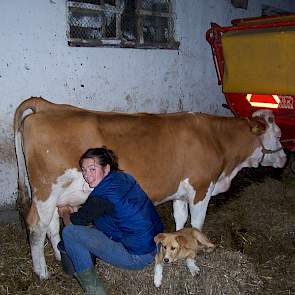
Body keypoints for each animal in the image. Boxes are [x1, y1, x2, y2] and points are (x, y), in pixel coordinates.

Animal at [13, 97, 286, 280]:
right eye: (279, 135)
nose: (285, 159)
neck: (215, 139)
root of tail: (49, 106)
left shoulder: (179, 192)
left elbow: (180, 221)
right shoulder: (201, 187)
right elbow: (196, 224)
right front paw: (194, 260)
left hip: (54, 196)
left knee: (51, 225)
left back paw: (60, 257)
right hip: (45, 190)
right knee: (36, 227)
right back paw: (42, 272)